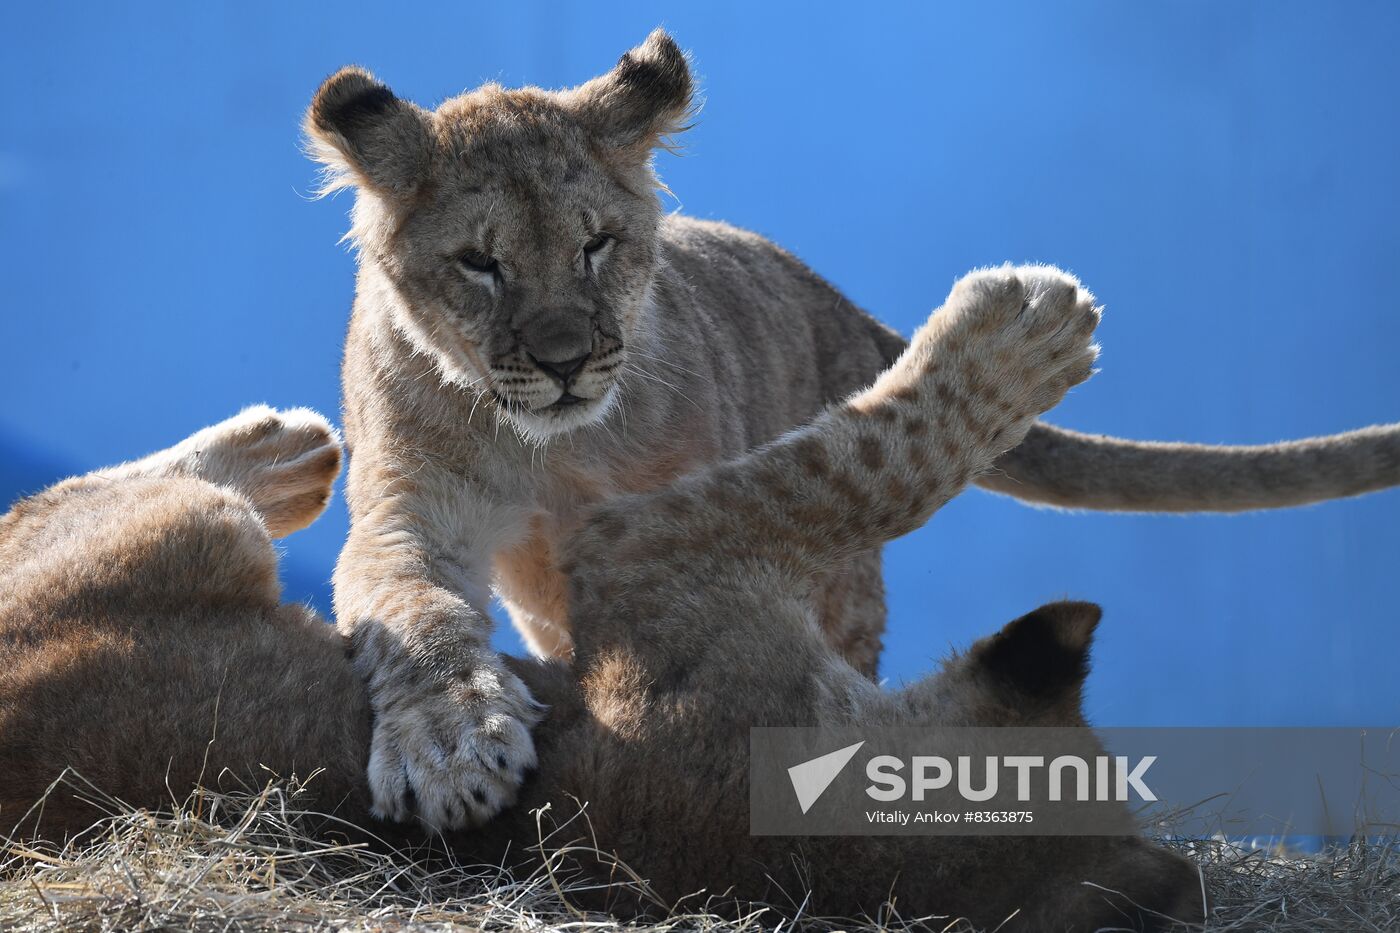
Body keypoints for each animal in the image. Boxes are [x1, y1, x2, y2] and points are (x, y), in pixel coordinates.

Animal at [1, 266, 1203, 929]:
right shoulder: (652, 557)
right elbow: (866, 462)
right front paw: (1026, 337)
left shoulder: (649, 555)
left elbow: (856, 463)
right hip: (195, 531)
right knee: (66, 500)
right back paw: (288, 444)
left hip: (183, 536)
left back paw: (285, 450)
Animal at [305, 28, 1400, 830]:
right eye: (478, 263)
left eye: (597, 244)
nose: (569, 360)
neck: (557, 444)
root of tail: (831, 300)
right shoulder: (415, 509)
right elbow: (412, 608)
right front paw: (450, 745)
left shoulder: (670, 526)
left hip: (836, 583)